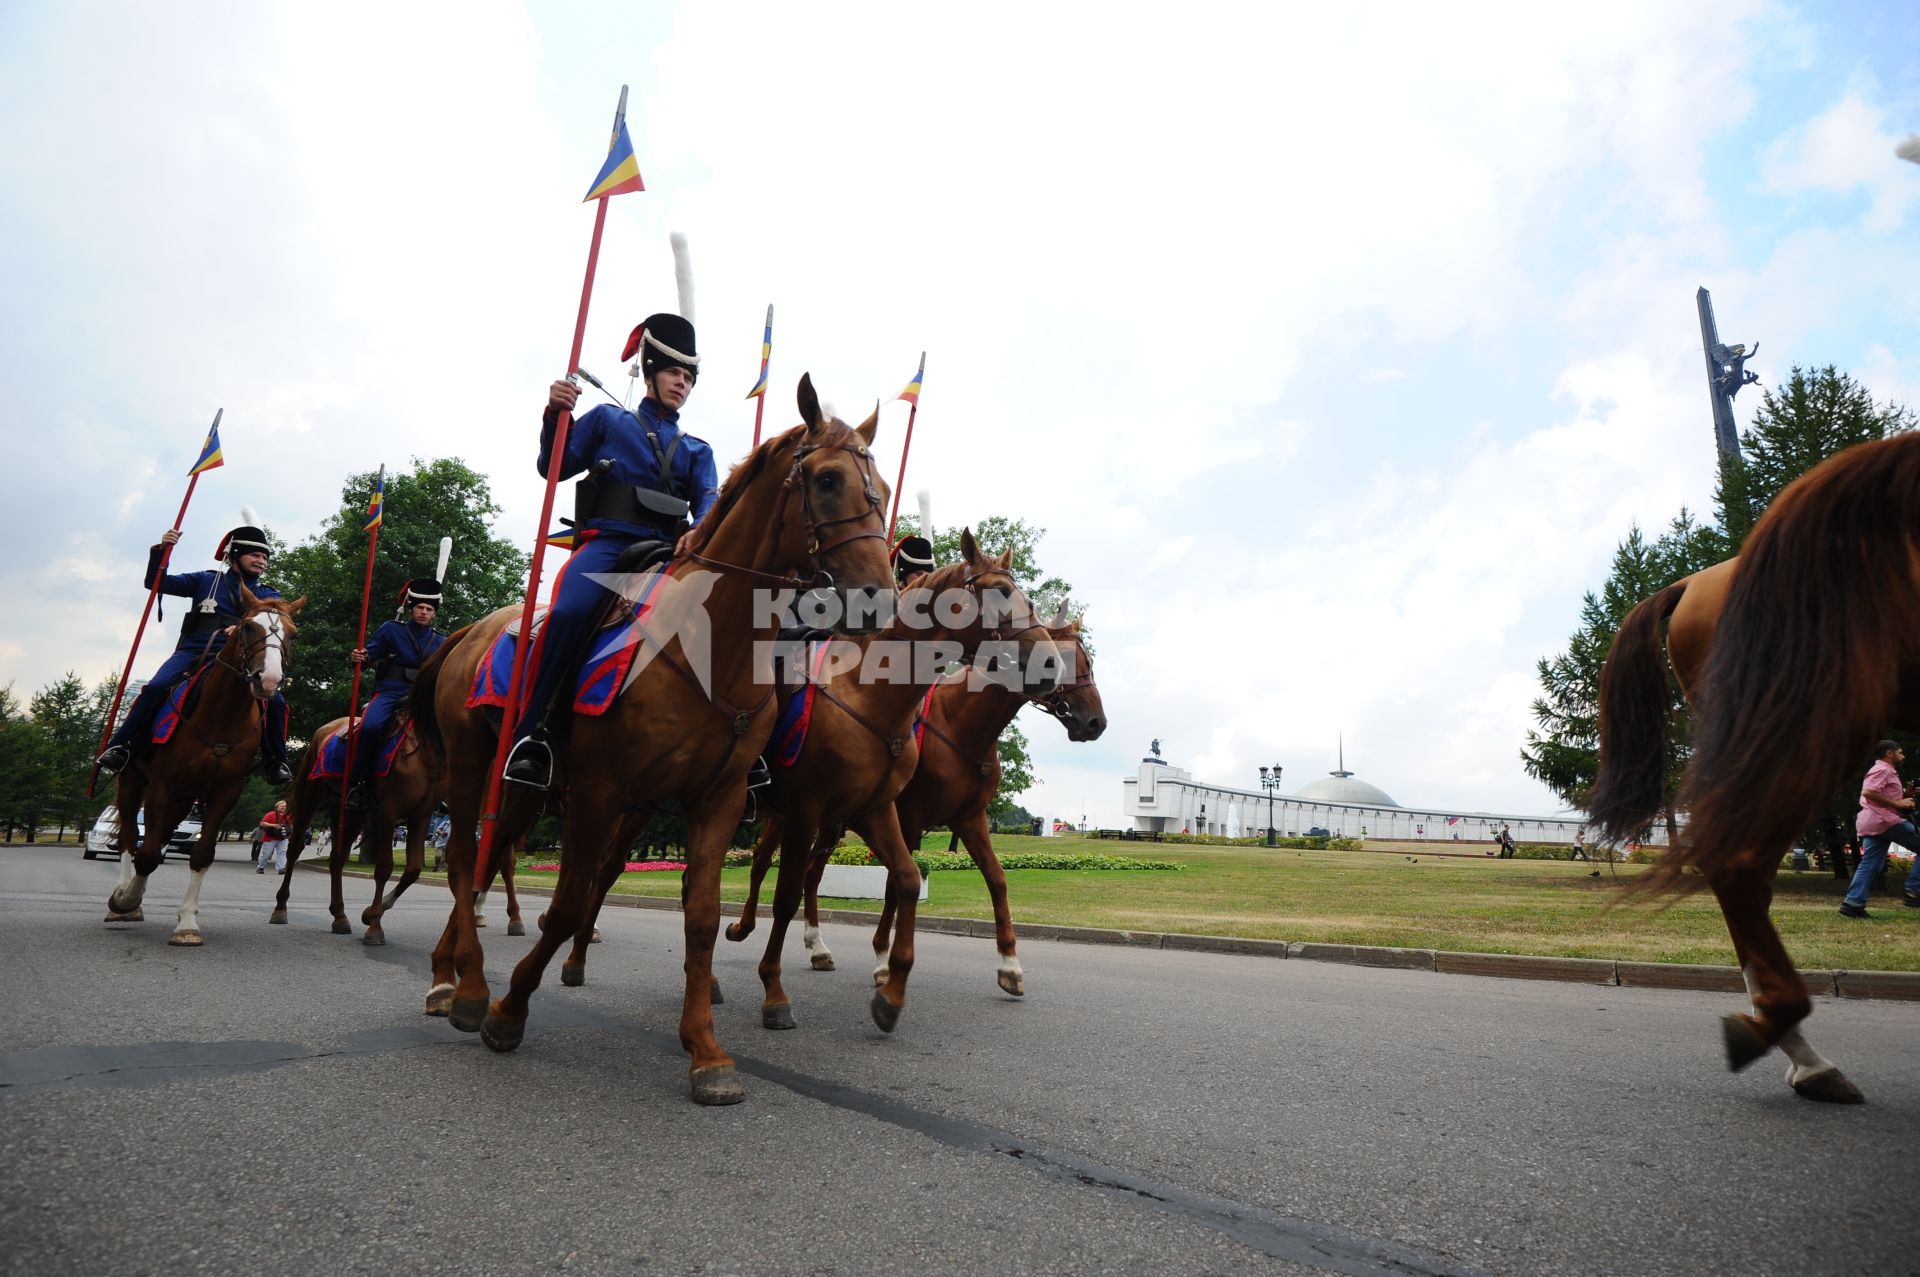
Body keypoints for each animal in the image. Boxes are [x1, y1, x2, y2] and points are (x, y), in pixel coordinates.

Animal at [104, 591, 305, 944]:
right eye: (248, 627)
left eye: (293, 634)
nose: (267, 681)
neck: (221, 715)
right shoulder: (161, 784)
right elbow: (147, 852)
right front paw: (126, 900)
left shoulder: (226, 791)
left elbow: (199, 853)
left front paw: (186, 924)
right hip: (132, 781)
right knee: (130, 837)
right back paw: (123, 899)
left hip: (184, 798)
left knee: (160, 837)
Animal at [412, 378, 890, 1106]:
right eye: (829, 479)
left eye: (883, 488)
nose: (881, 601)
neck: (710, 645)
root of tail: (470, 630)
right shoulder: (599, 793)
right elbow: (567, 904)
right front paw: (509, 1010)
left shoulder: (718, 799)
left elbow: (701, 916)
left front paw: (706, 1052)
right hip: (472, 767)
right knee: (467, 859)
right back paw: (465, 987)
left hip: (523, 789)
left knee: (488, 858)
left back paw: (449, 974)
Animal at [725, 614, 1105, 990]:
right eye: (1063, 659)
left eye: (1087, 661)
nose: (1095, 723)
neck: (958, 724)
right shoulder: (907, 818)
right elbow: (894, 885)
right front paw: (883, 958)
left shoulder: (970, 819)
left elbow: (996, 878)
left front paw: (1009, 964)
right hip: (789, 815)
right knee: (761, 862)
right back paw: (744, 926)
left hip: (830, 821)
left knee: (811, 875)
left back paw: (816, 946)